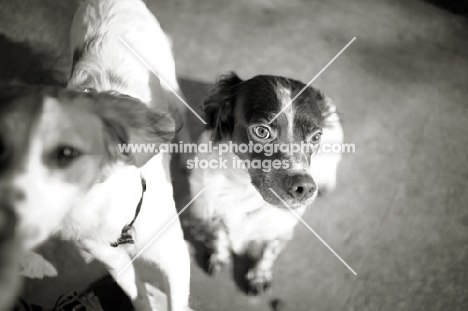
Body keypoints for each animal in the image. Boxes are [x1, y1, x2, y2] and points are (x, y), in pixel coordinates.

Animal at [188, 72, 342, 294]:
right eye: (262, 131)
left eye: (315, 137)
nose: (305, 188)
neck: (246, 192)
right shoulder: (214, 206)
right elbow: (219, 234)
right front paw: (219, 255)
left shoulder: (281, 227)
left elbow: (270, 250)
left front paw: (259, 275)